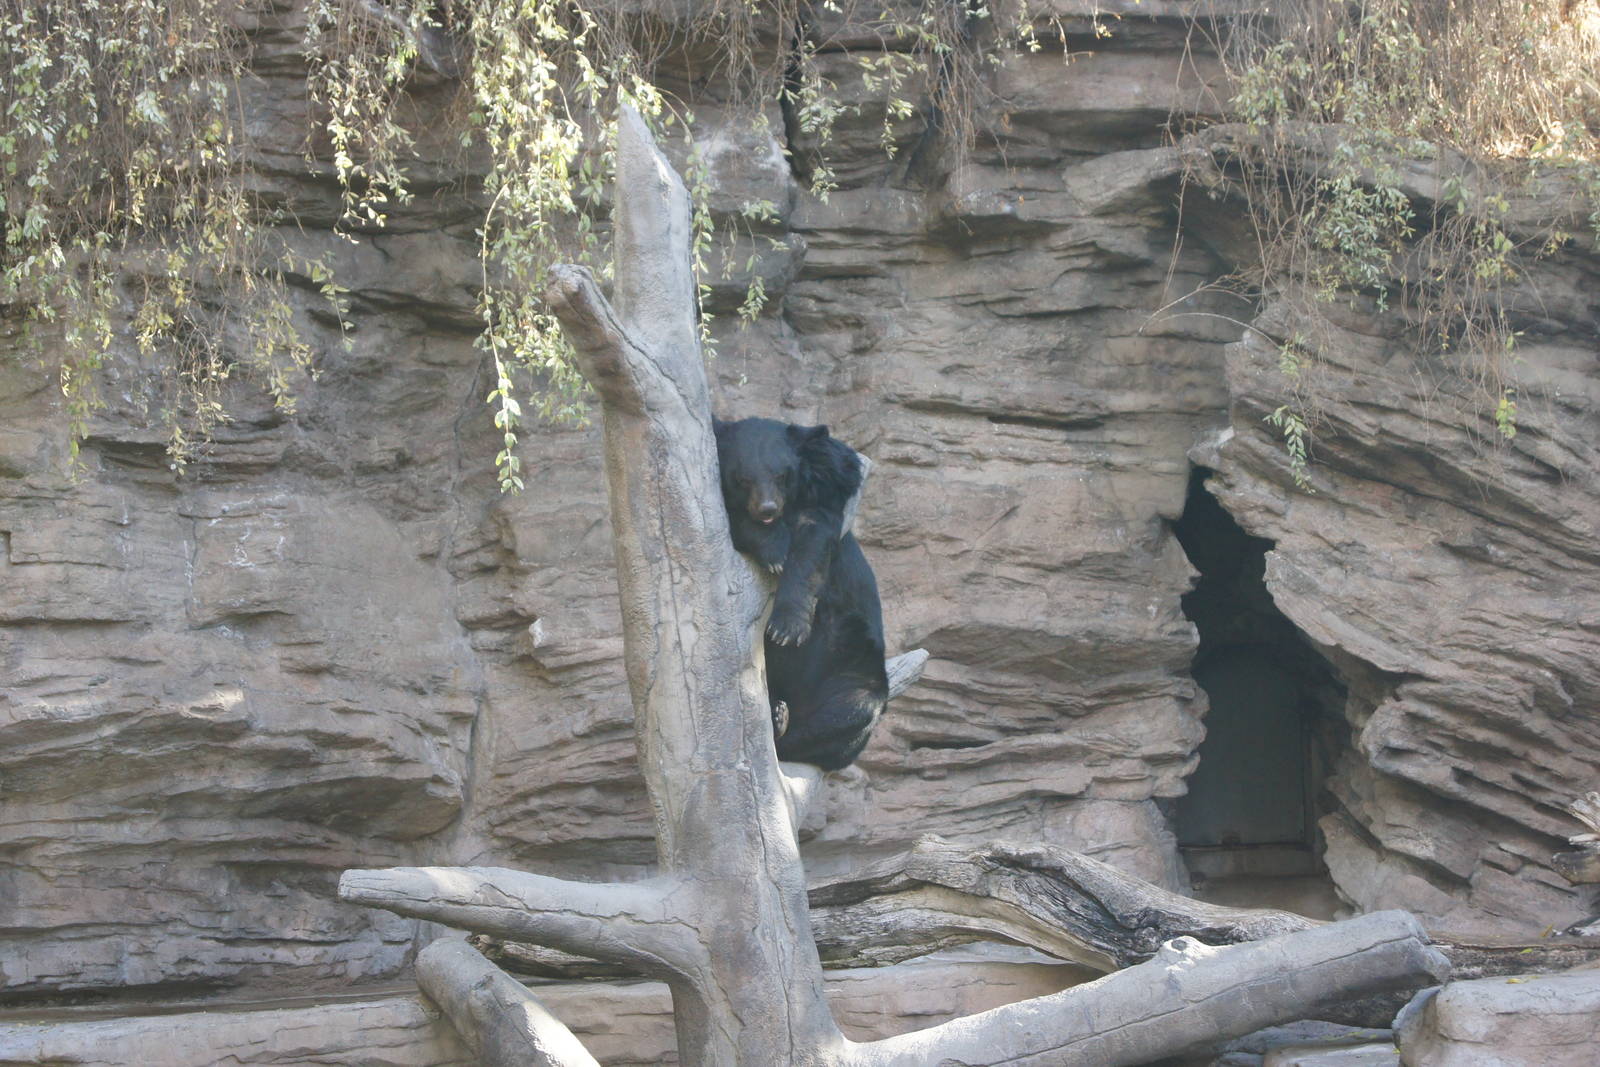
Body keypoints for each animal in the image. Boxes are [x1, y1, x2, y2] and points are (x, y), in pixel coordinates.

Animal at [713, 416, 890, 771]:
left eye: (782, 475)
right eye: (743, 479)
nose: (766, 509)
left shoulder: (829, 484)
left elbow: (812, 546)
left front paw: (786, 629)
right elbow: (738, 521)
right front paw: (775, 548)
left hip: (852, 664)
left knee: (850, 710)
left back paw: (781, 724)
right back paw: (776, 715)